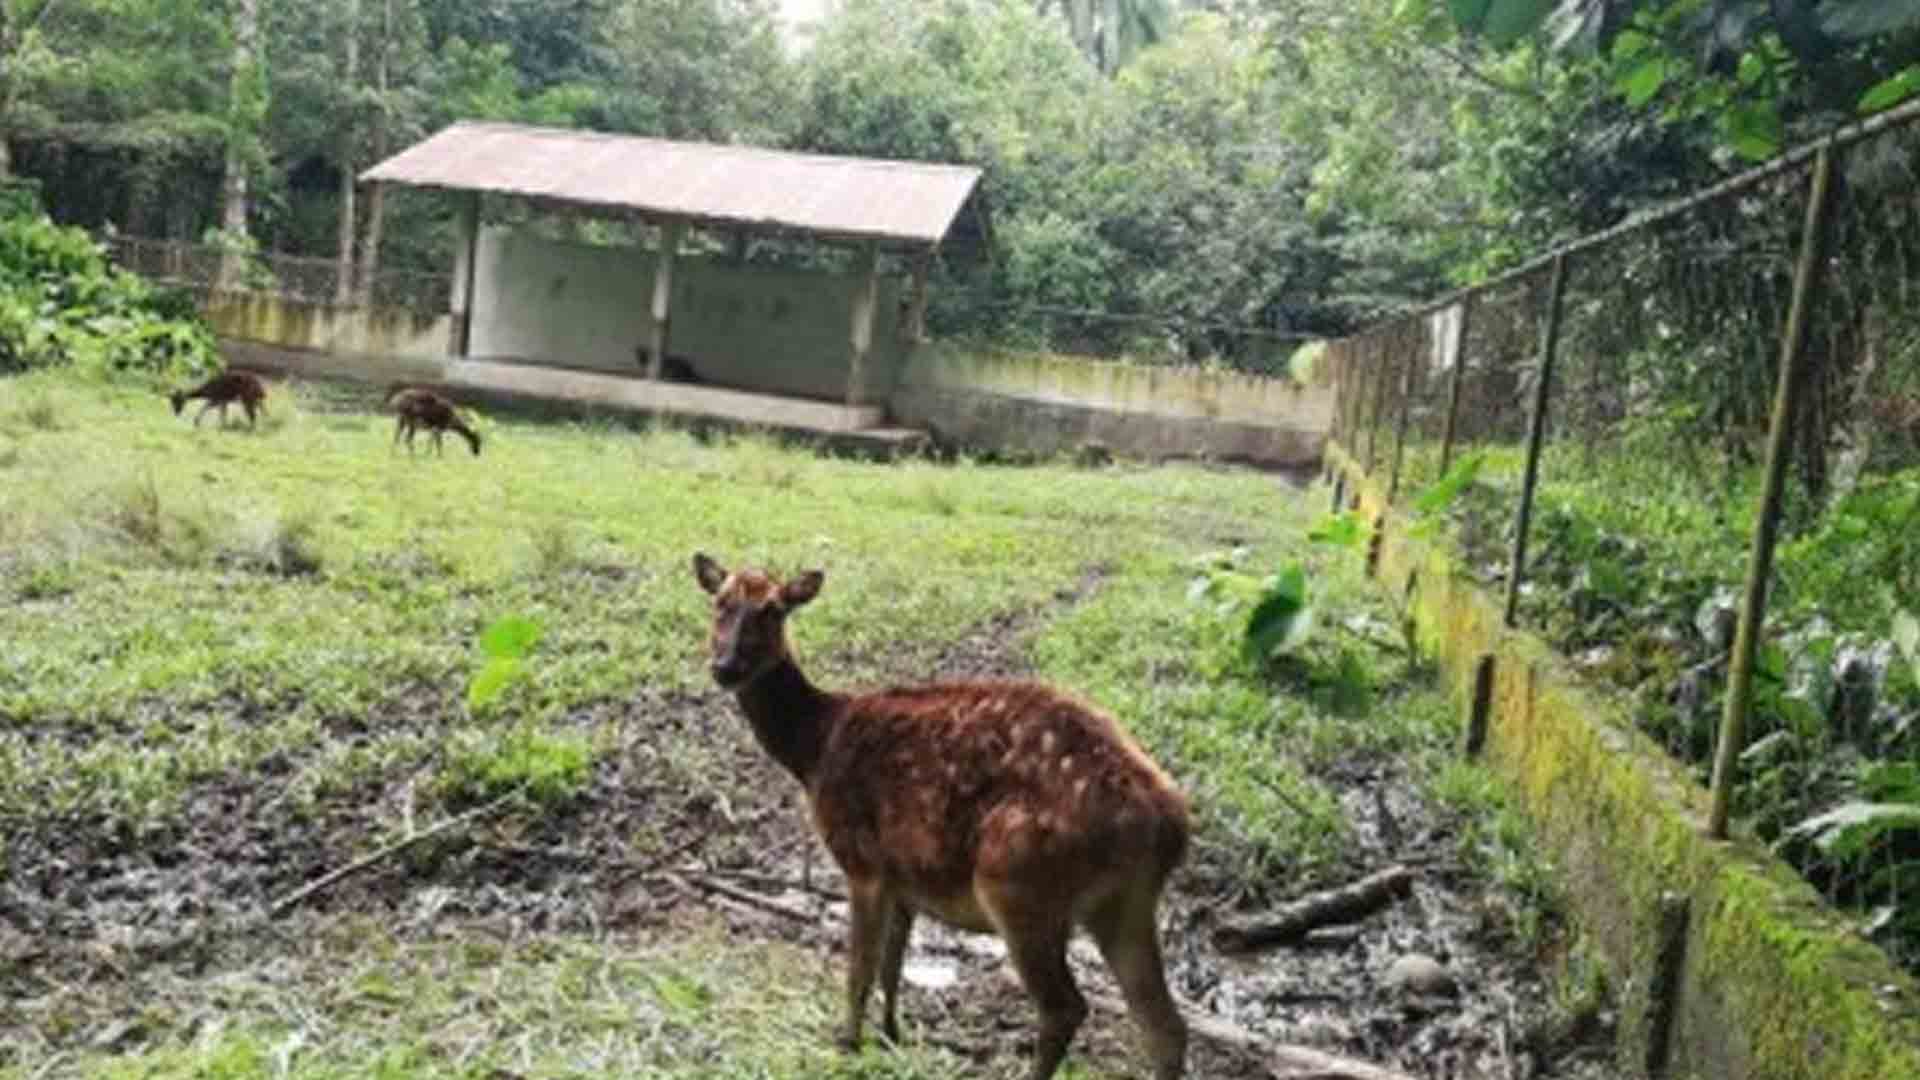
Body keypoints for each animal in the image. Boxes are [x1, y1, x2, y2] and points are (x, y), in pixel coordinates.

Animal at [692, 554, 1190, 1080]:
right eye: (720, 602)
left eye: (773, 610)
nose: (725, 667)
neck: (814, 747)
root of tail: (1170, 823)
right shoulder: (904, 876)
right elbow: (891, 966)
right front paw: (891, 1035)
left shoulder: (861, 860)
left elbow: (859, 968)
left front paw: (847, 1043)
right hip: (1124, 902)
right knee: (1163, 1025)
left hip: (1018, 879)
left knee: (1065, 1007)